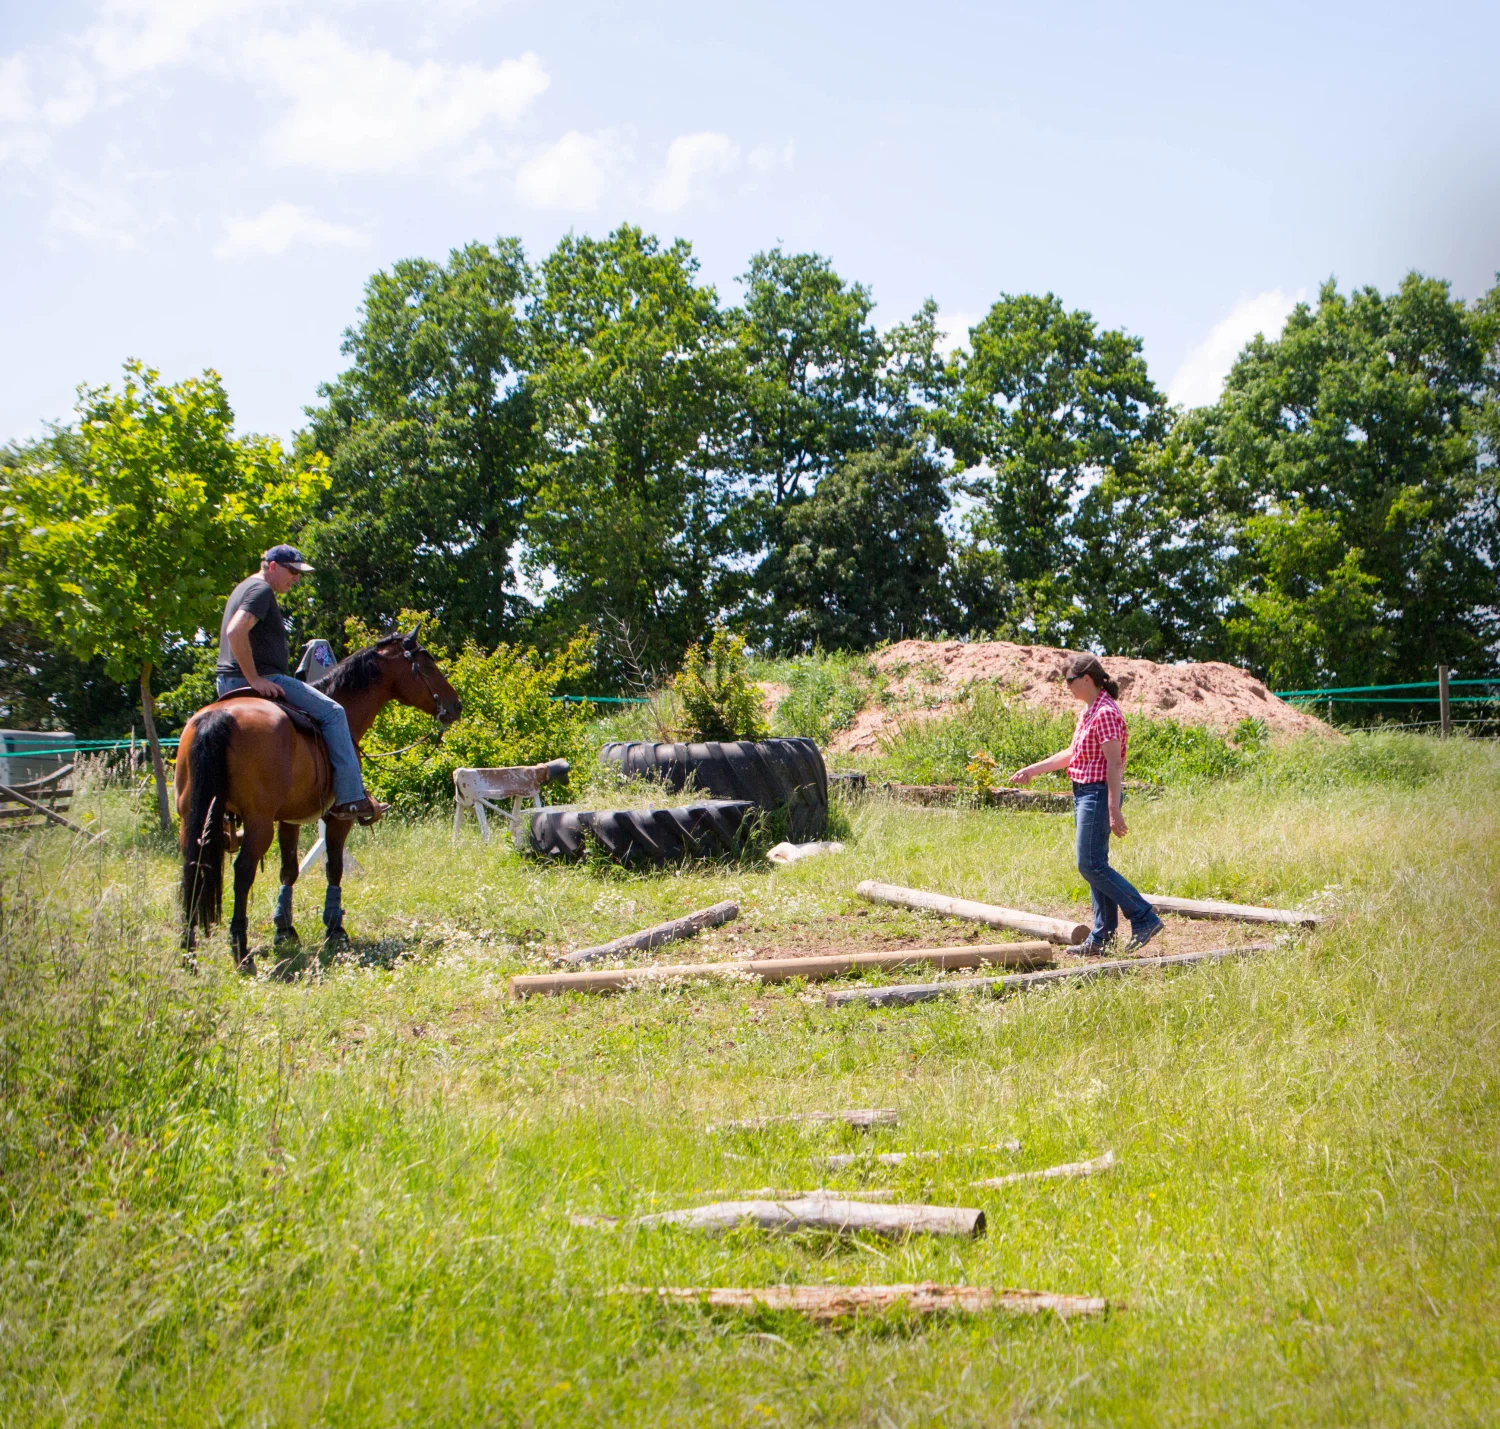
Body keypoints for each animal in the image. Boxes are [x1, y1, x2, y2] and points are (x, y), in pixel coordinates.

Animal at [175, 627, 462, 971]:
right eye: (427, 664)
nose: (456, 705)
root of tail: (218, 717)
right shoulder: (337, 817)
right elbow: (333, 867)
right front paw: (335, 928)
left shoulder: (288, 818)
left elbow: (289, 870)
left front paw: (284, 929)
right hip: (258, 825)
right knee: (242, 873)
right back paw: (241, 951)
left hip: (192, 818)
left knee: (192, 869)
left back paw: (188, 952)